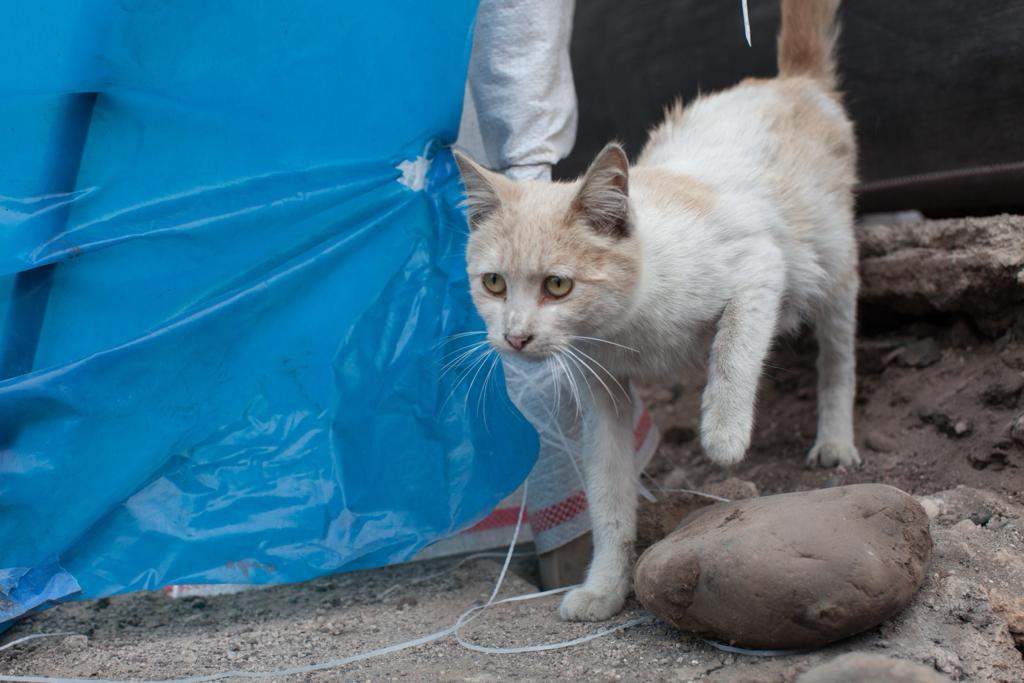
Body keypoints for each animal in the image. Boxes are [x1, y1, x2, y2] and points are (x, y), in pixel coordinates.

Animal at [456, 0, 856, 622]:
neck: (627, 327)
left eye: (557, 286)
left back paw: (835, 439)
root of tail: (791, 82)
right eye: (494, 283)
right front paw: (604, 587)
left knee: (838, 354)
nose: (515, 337)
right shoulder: (602, 391)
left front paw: (723, 433)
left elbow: (734, 347)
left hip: (829, 261)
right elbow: (608, 494)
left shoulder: (759, 264)